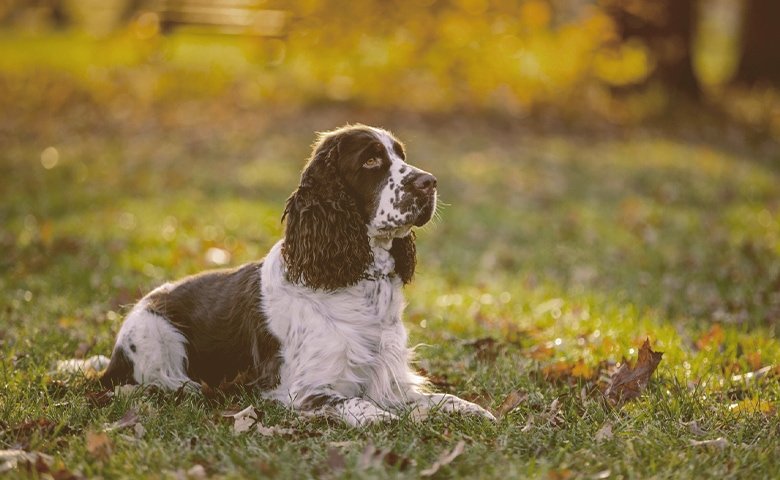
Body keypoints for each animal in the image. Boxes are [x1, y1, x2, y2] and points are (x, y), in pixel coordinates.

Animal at [94, 125, 496, 426]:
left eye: (402, 157)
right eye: (370, 161)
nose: (429, 182)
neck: (360, 280)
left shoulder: (391, 378)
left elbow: (440, 398)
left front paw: (474, 409)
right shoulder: (305, 390)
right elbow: (359, 405)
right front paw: (383, 419)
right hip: (156, 334)